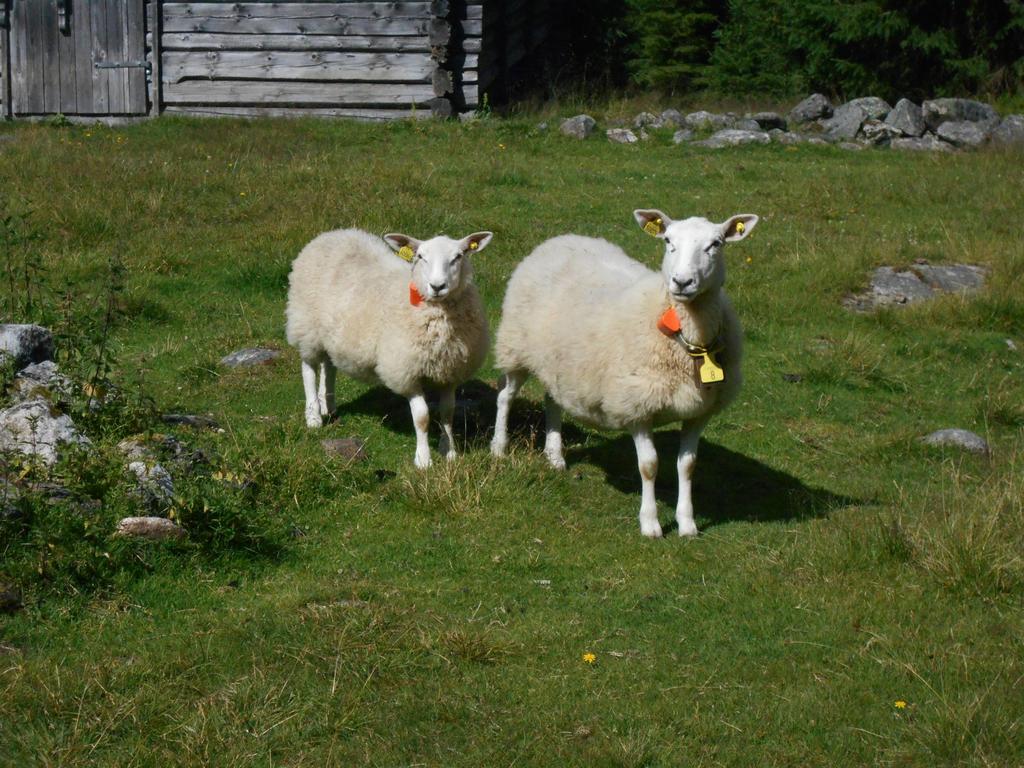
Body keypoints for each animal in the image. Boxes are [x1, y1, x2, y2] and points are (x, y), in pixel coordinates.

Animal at [286, 227, 493, 468]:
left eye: (458, 257)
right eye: (420, 256)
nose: (437, 286)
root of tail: (332, 234)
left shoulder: (450, 370)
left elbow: (448, 412)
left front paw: (448, 451)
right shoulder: (405, 371)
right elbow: (422, 417)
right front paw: (423, 459)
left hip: (332, 334)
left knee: (329, 366)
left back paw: (328, 404)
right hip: (306, 325)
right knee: (308, 367)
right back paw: (314, 416)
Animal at [491, 207, 757, 536]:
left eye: (716, 244)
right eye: (668, 241)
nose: (682, 282)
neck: (686, 335)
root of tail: (562, 238)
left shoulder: (699, 411)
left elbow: (688, 465)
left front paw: (687, 523)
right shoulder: (637, 406)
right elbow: (649, 466)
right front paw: (651, 524)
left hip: (561, 363)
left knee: (553, 400)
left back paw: (554, 456)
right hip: (515, 346)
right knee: (505, 396)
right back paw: (499, 447)